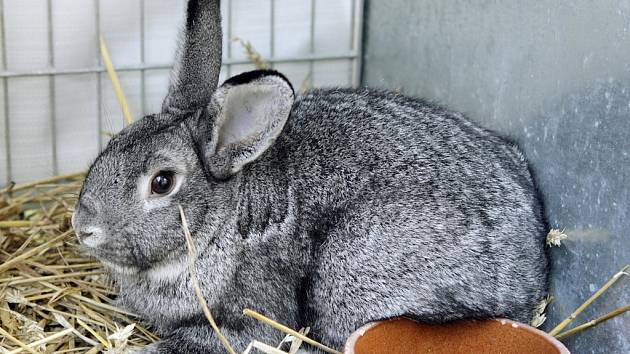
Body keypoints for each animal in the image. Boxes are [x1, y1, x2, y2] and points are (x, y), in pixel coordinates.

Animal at [71, 0, 552, 354]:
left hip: (351, 271)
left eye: (162, 183)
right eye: (114, 144)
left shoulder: (252, 316)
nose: (83, 227)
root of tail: (534, 261)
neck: (221, 223)